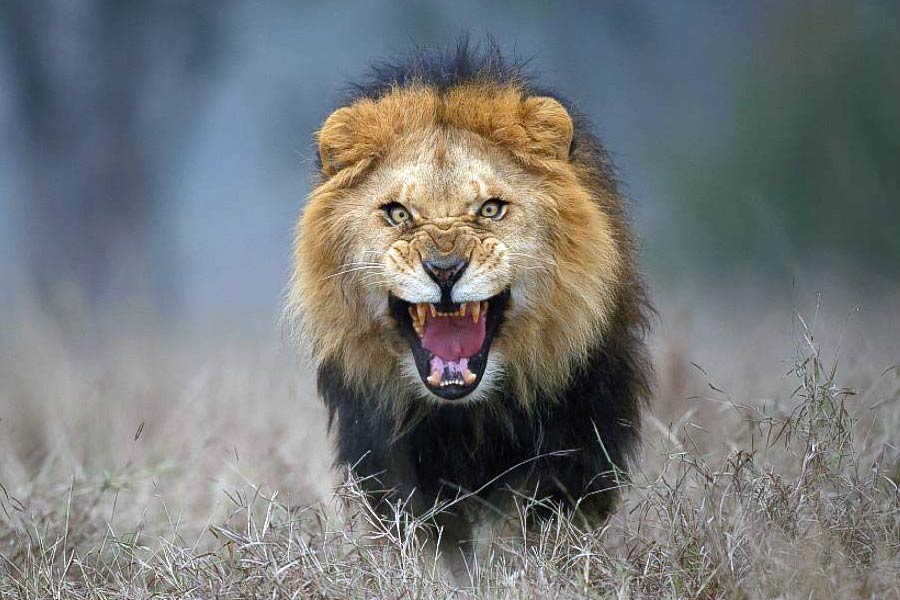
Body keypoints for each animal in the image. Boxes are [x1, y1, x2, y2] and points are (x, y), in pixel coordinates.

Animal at [287, 43, 651, 561]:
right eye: (398, 213)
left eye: (490, 209)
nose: (445, 270)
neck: (468, 417)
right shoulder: (390, 458)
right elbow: (432, 543)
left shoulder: (575, 443)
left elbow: (533, 530)